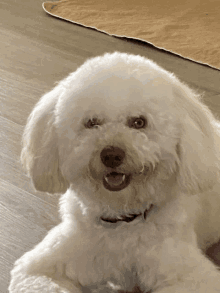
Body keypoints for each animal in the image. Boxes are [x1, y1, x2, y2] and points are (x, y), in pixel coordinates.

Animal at [9, 52, 220, 292]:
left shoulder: (192, 276)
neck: (123, 218)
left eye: (139, 122)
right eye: (92, 122)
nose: (111, 155)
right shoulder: (43, 264)